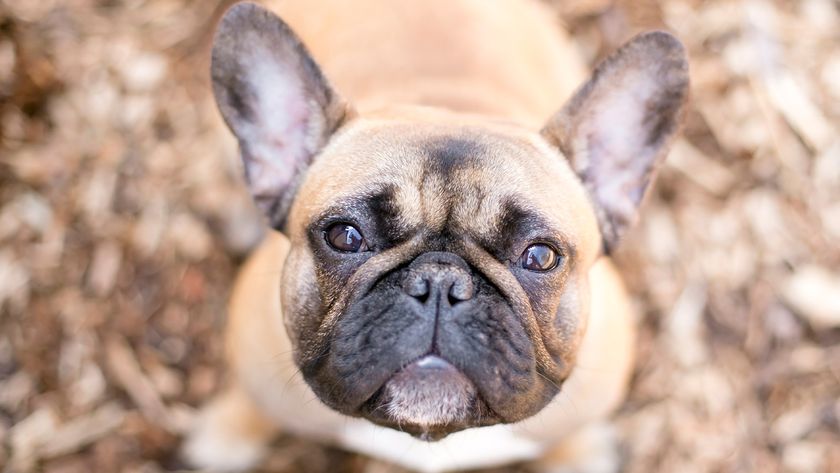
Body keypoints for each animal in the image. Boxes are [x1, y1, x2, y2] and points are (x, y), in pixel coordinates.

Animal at [180, 1, 684, 470]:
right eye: (344, 237)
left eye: (540, 257)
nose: (440, 282)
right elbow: (254, 405)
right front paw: (230, 432)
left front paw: (575, 453)